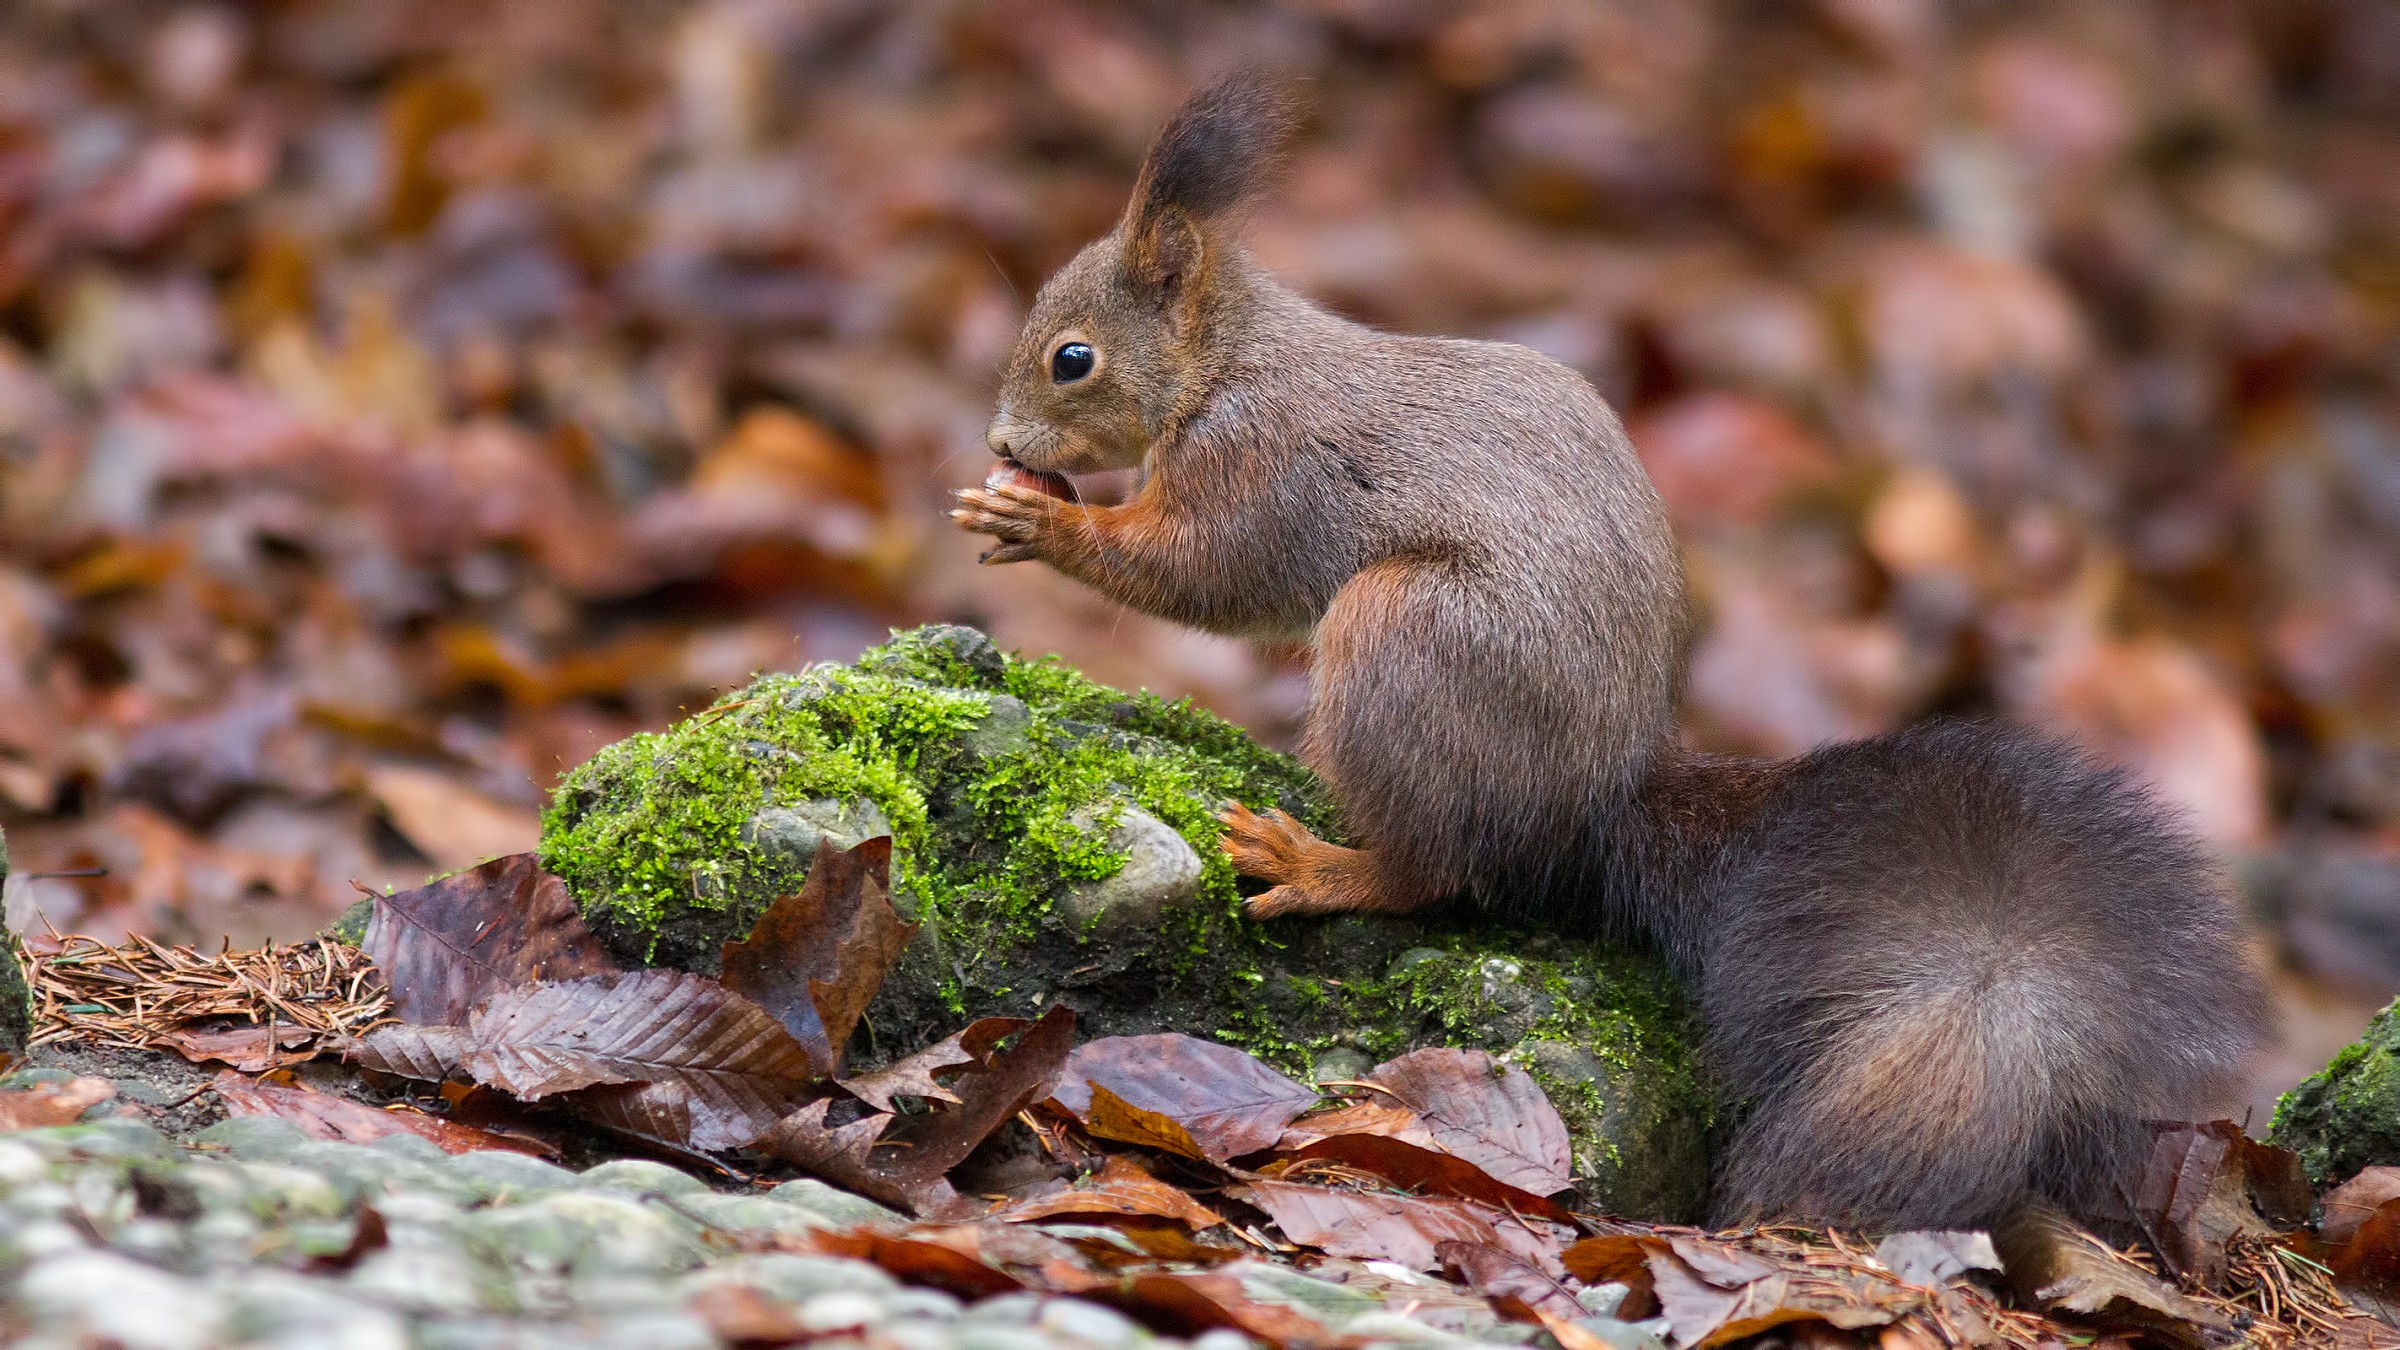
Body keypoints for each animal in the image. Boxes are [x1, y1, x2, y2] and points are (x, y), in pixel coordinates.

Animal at [953, 75, 2269, 1233]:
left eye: (1072, 357)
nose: (1003, 442)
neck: (1225, 362)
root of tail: (1595, 797)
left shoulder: (1258, 463)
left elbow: (1205, 574)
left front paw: (1042, 523)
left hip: (1406, 638)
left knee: (1442, 868)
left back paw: (1323, 861)